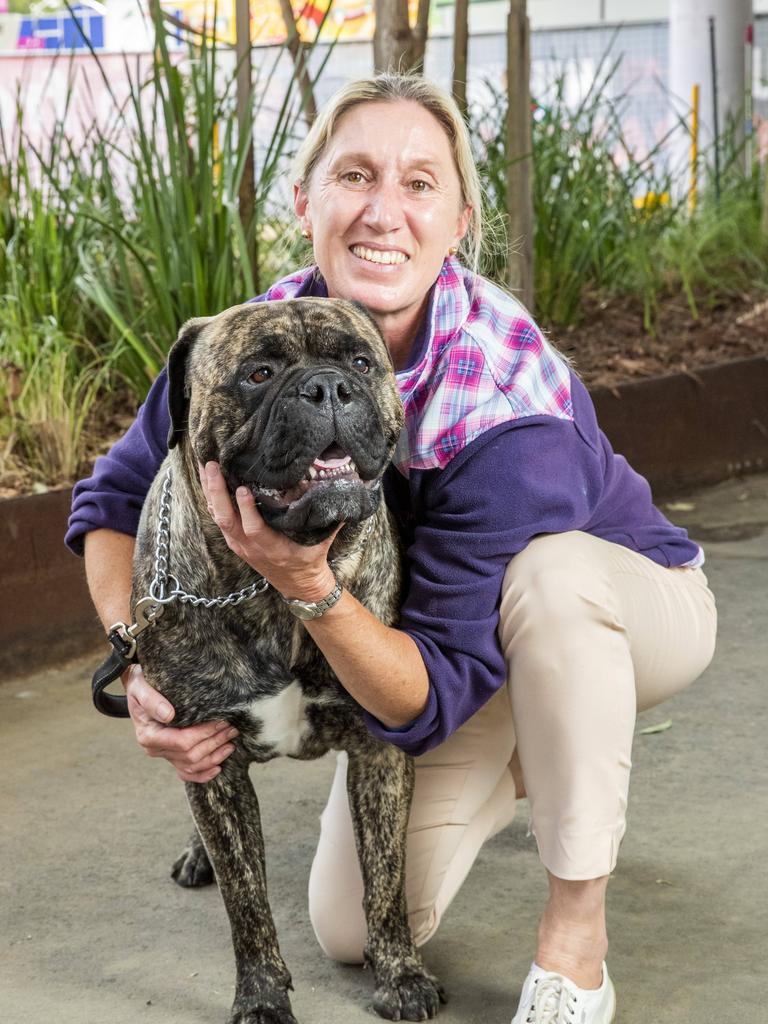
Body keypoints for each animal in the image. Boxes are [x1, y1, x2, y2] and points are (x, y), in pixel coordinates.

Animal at [132, 299, 444, 1024]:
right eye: (259, 373)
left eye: (359, 360)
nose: (327, 387)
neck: (273, 589)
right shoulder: (209, 756)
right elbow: (246, 901)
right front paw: (262, 997)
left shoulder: (381, 752)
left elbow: (384, 878)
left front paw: (401, 974)